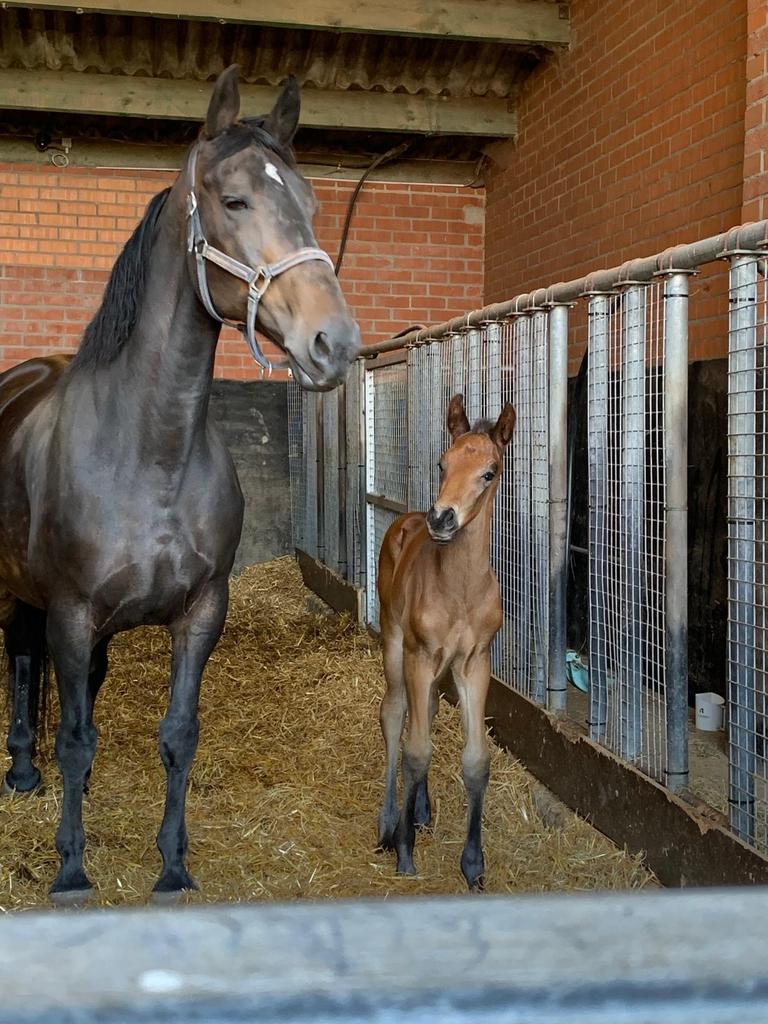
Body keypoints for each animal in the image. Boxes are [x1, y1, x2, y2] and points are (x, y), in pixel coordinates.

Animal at [0, 65, 360, 902]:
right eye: (234, 200)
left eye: (311, 202)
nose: (334, 343)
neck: (150, 456)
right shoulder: (70, 612)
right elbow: (73, 733)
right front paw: (71, 867)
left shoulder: (200, 614)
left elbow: (177, 735)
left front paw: (172, 864)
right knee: (22, 662)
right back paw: (24, 772)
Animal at [376, 393, 515, 890]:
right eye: (442, 463)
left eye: (489, 472)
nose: (442, 517)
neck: (460, 588)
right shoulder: (419, 655)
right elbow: (416, 750)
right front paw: (404, 852)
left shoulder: (474, 663)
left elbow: (475, 761)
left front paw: (473, 865)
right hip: (395, 644)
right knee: (395, 713)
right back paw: (389, 822)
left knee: (429, 710)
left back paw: (420, 809)